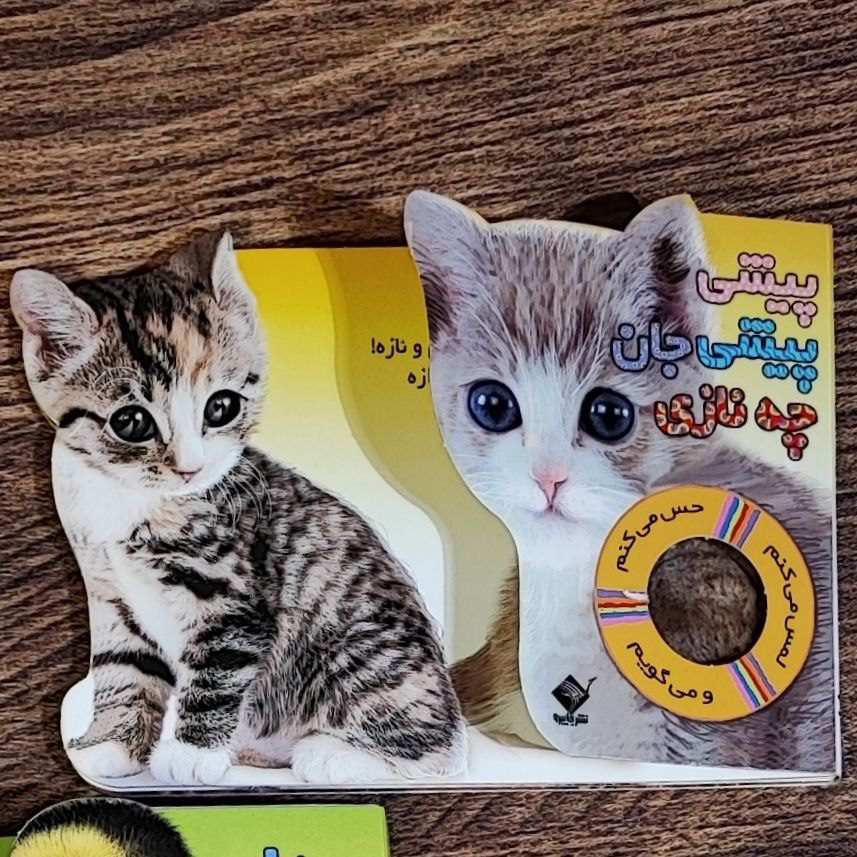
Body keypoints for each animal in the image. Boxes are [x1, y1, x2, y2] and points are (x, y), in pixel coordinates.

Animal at [11, 231, 466, 786]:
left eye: (221, 407)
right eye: (131, 422)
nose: (190, 467)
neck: (131, 499)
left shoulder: (232, 601)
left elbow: (219, 666)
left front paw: (192, 753)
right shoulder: (110, 595)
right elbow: (124, 668)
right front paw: (110, 746)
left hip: (356, 651)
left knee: (439, 753)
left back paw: (331, 754)